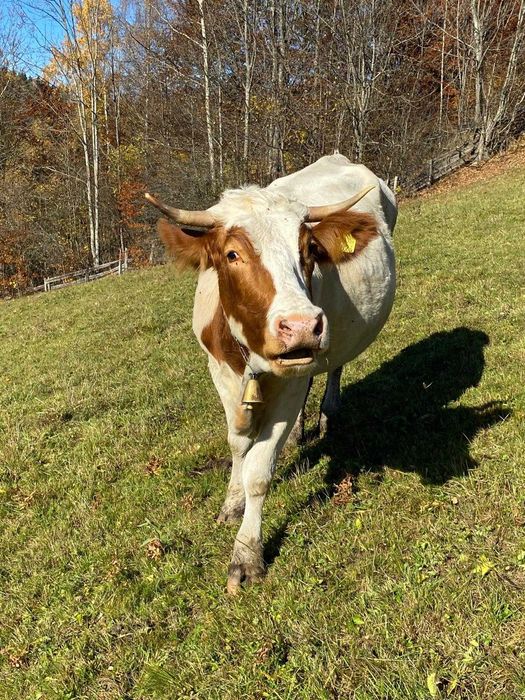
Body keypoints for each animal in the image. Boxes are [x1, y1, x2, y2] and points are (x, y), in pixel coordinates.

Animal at [145, 153, 396, 594]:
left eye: (309, 249)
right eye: (232, 254)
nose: (302, 326)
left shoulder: (291, 379)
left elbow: (260, 470)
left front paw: (246, 553)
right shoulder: (220, 373)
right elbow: (237, 444)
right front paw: (231, 503)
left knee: (334, 366)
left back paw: (327, 414)